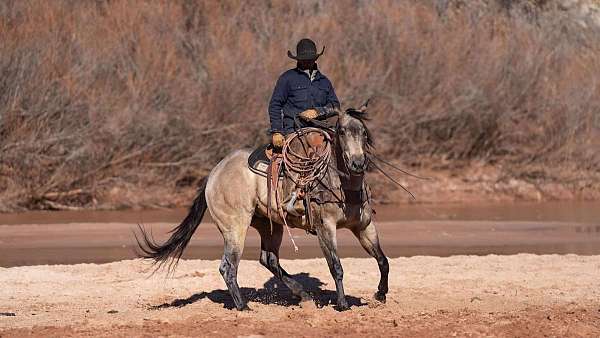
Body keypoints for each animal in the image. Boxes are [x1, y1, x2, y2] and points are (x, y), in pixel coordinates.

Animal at [135, 103, 390, 312]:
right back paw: (243, 306)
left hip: (270, 226)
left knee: (268, 259)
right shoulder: (325, 228)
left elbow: (382, 260)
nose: (357, 163)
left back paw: (303, 294)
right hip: (235, 228)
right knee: (228, 266)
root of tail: (213, 174)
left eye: (363, 133)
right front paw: (343, 304)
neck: (343, 186)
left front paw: (380, 294)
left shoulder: (364, 227)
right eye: (342, 132)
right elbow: (336, 266)